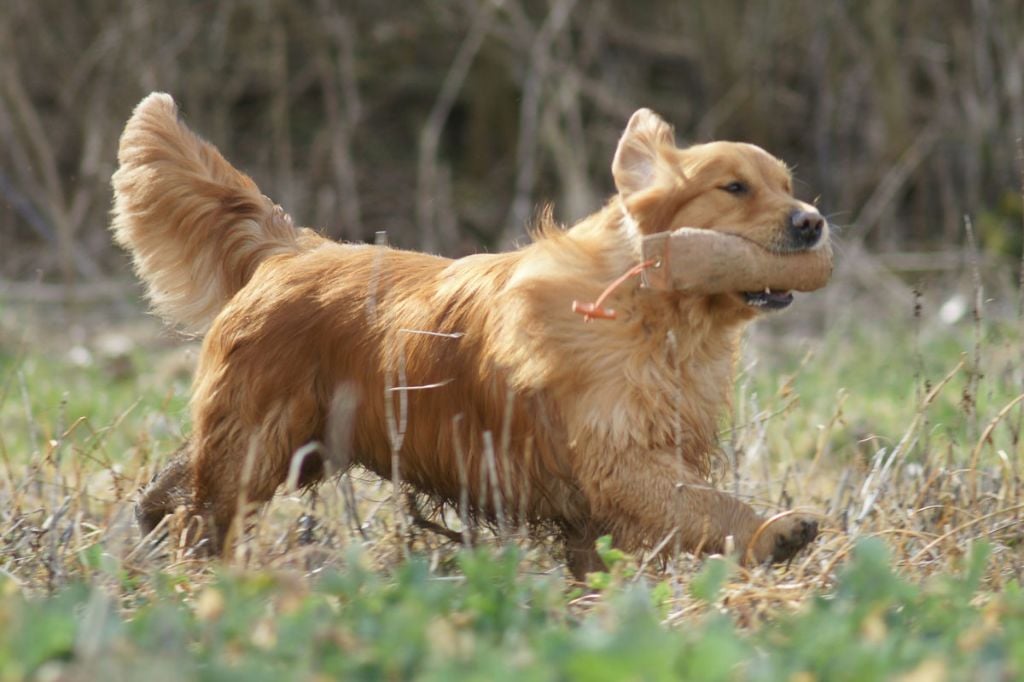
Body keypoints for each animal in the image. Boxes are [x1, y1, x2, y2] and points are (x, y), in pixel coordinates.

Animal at [114, 93, 831, 577]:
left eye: (787, 185)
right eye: (734, 187)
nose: (813, 222)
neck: (656, 314)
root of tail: (290, 249)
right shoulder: (617, 460)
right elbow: (709, 505)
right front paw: (775, 531)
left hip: (289, 444)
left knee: (180, 490)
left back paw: (150, 530)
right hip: (261, 442)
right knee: (204, 510)